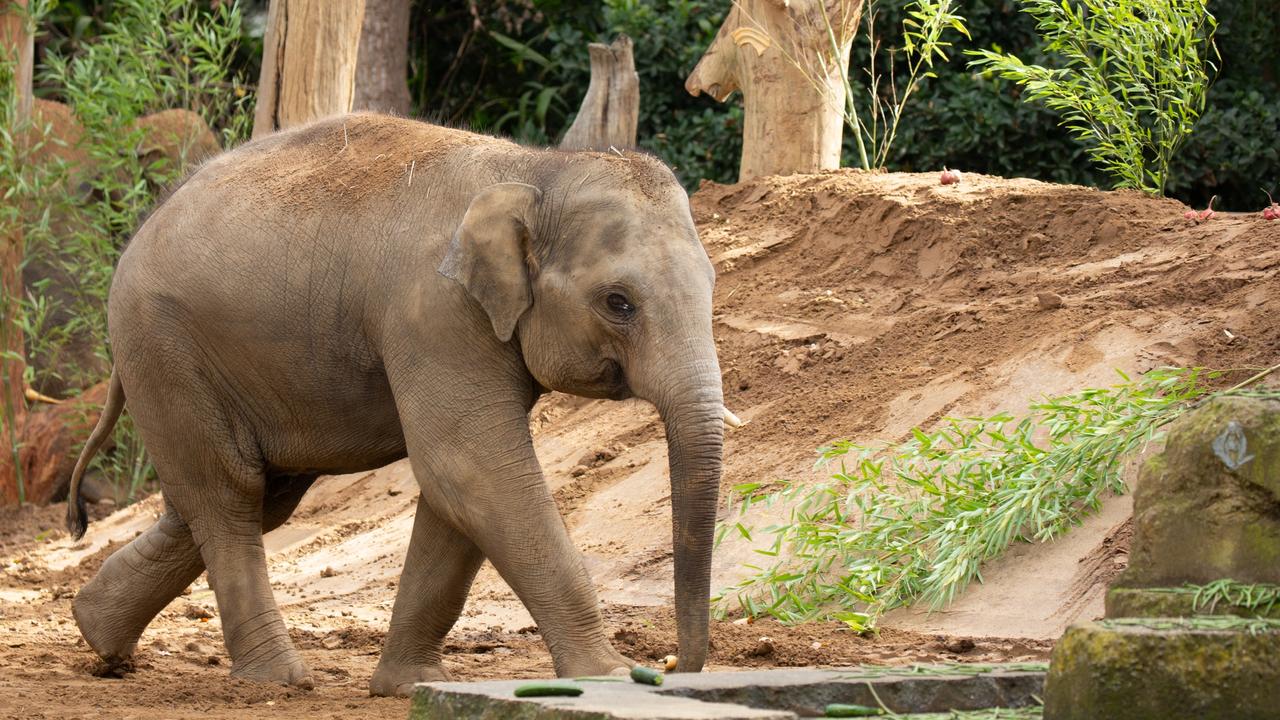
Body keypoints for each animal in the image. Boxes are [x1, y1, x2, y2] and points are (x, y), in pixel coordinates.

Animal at [67, 113, 732, 696]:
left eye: (711, 283)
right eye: (619, 302)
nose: (674, 667)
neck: (536, 170)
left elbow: (459, 492)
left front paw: (409, 685)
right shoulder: (433, 313)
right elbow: (470, 468)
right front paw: (608, 677)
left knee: (247, 499)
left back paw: (98, 634)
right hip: (165, 347)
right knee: (231, 495)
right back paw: (276, 681)